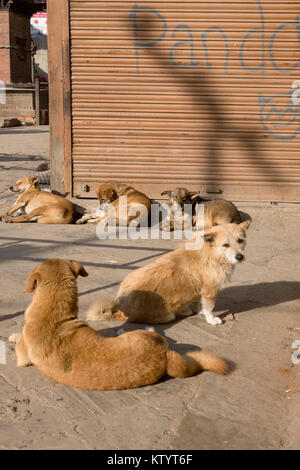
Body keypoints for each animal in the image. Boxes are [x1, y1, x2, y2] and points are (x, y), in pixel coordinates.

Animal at [9, 258, 229, 392]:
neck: (54, 314)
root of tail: (165, 356)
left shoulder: (23, 358)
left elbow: (19, 338)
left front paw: (11, 336)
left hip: (138, 335)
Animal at [87, 221, 251, 326]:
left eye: (240, 240)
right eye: (225, 245)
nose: (240, 257)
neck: (211, 254)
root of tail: (116, 310)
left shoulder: (201, 291)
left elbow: (200, 304)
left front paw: (200, 311)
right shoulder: (210, 291)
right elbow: (209, 308)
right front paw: (211, 319)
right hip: (168, 315)